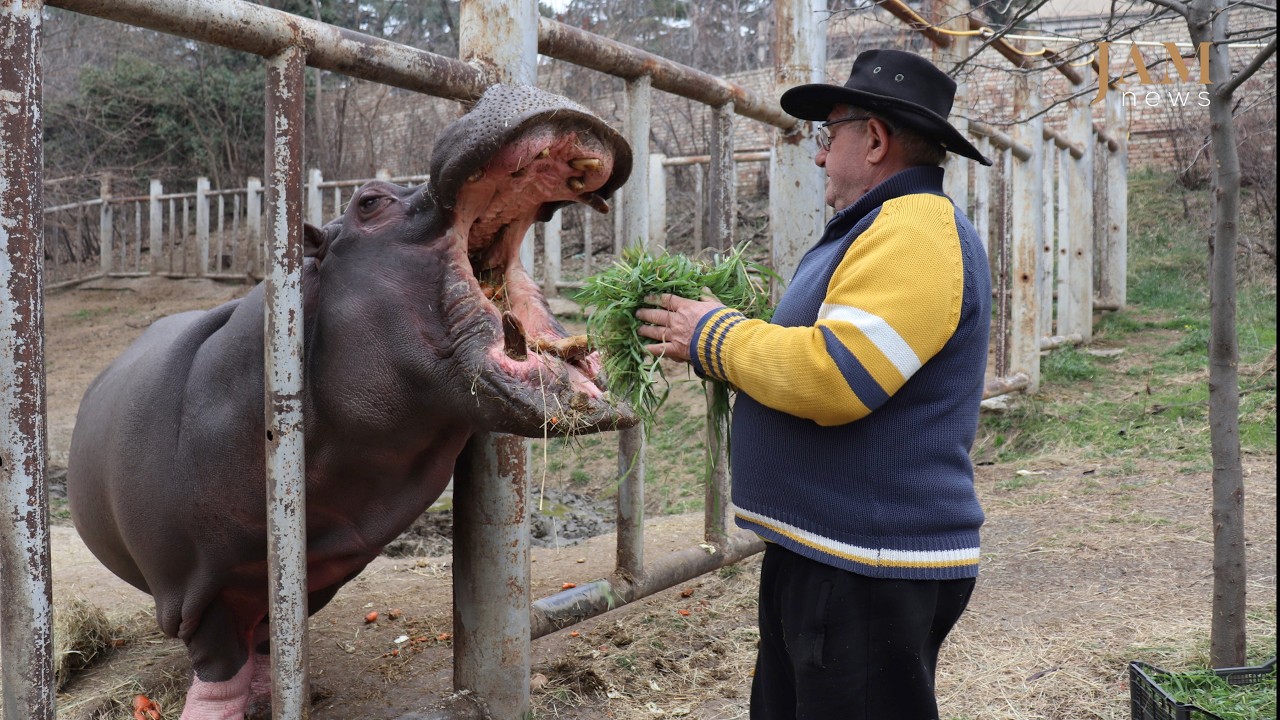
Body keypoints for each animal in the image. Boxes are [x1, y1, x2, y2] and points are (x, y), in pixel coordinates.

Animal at [66, 83, 635, 719]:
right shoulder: (196, 587)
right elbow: (220, 665)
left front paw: (283, 693)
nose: (504, 87)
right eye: (369, 202)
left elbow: (270, 640)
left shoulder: (315, 568)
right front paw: (218, 710)